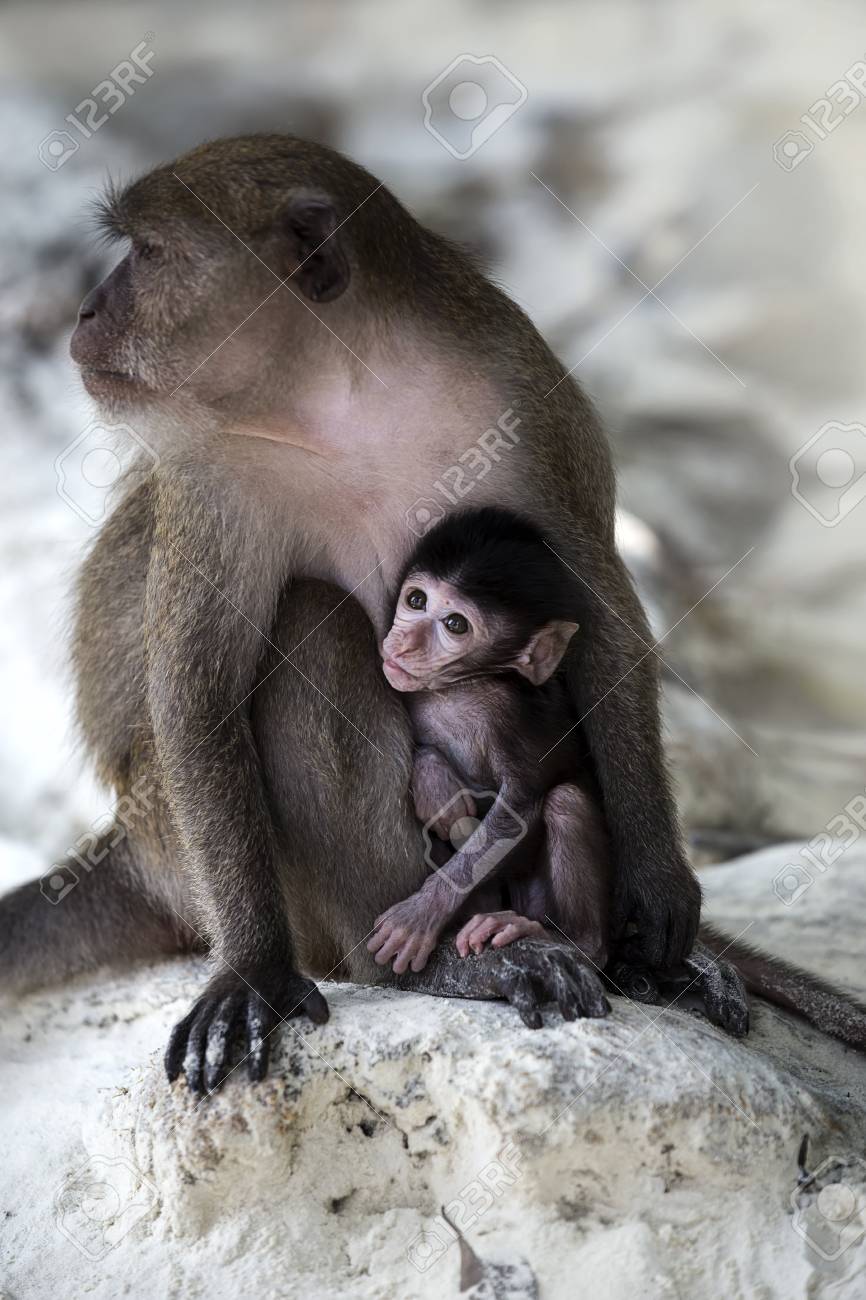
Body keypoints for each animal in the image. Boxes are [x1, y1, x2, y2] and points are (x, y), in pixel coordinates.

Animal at [1, 135, 864, 1095]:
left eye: (147, 255)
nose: (85, 310)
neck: (345, 395)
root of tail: (132, 848)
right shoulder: (210, 469)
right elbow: (199, 692)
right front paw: (255, 970)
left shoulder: (530, 402)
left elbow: (600, 610)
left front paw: (658, 885)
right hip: (206, 854)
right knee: (311, 626)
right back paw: (422, 961)